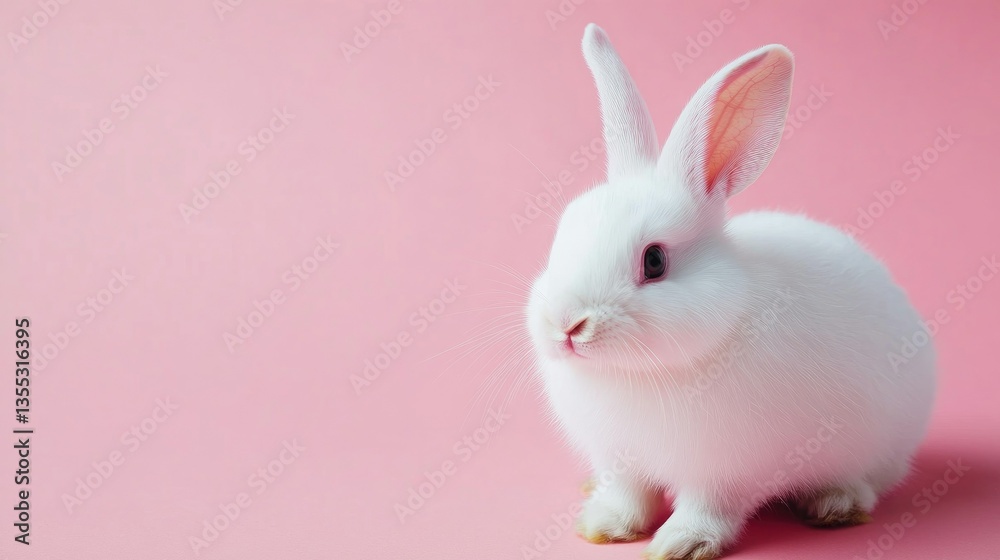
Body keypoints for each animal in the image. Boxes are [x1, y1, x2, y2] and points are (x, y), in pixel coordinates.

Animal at [525, 24, 936, 560]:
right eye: (562, 234)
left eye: (654, 261)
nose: (567, 326)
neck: (639, 374)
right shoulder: (618, 456)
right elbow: (629, 495)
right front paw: (604, 526)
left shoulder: (724, 472)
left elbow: (709, 508)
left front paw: (682, 544)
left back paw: (835, 506)